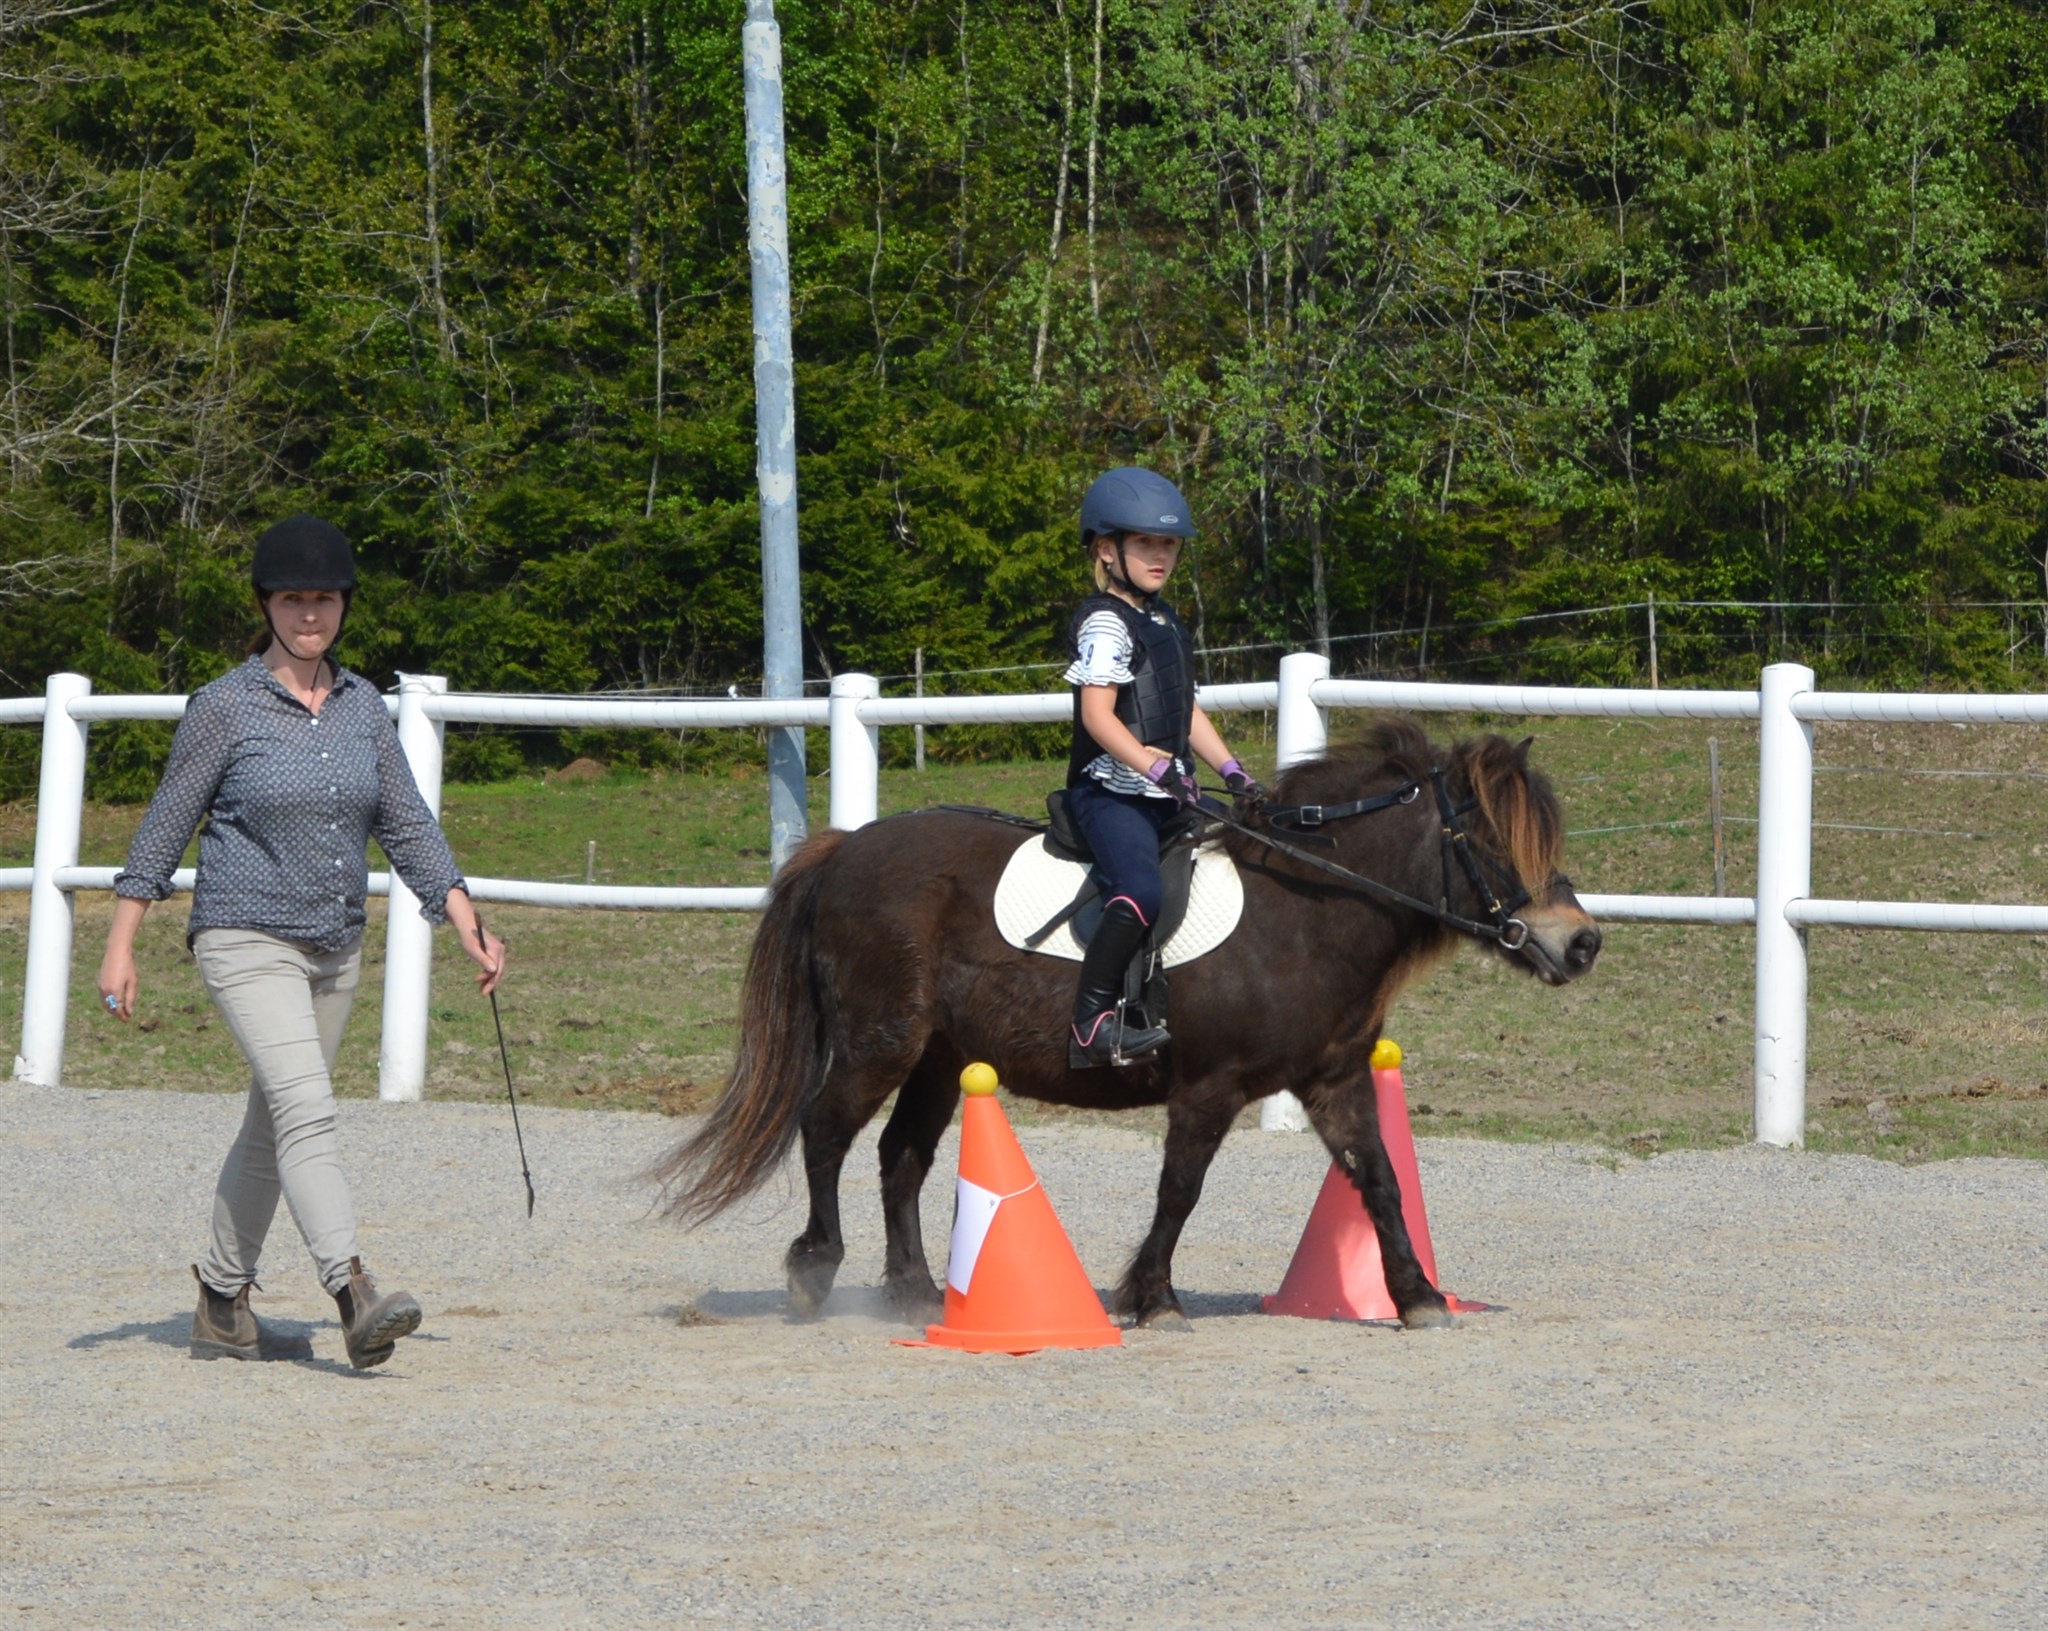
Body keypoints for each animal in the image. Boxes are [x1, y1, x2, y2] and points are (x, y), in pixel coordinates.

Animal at [655, 721, 1597, 1327]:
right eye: (1492, 837)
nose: (1579, 942)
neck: (1304, 910)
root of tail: (846, 846)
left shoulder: (1335, 1079)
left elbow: (1381, 1180)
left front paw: (1418, 1297)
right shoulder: (1208, 1087)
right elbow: (1180, 1190)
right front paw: (1152, 1297)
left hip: (940, 1055)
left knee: (902, 1157)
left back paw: (916, 1291)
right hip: (878, 1041)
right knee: (825, 1132)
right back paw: (815, 1270)